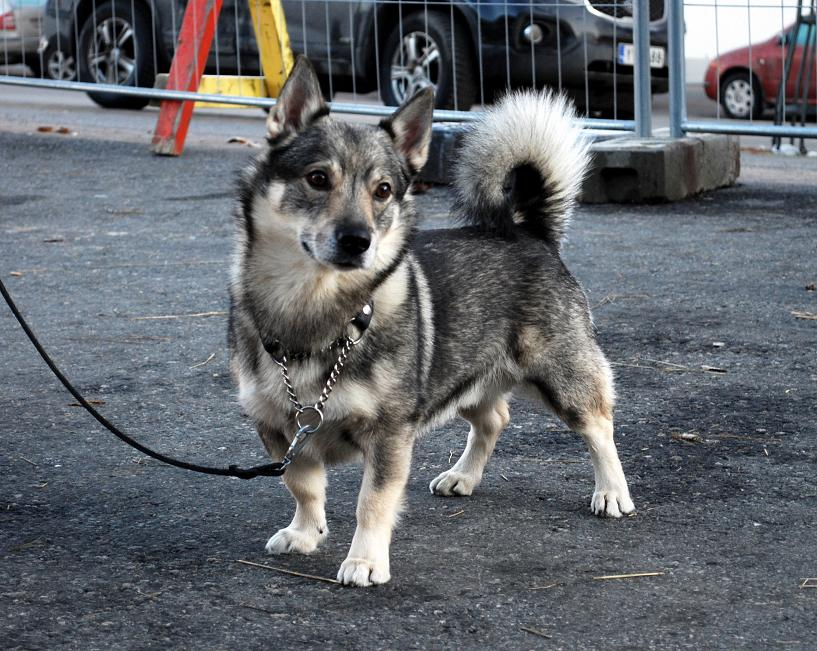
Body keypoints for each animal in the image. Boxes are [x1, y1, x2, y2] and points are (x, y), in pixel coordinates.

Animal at [226, 54, 636, 584]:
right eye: (317, 179)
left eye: (383, 191)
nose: (358, 240)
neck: (315, 314)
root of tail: (527, 231)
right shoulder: (280, 429)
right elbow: (303, 485)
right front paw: (305, 532)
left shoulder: (389, 435)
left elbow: (372, 502)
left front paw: (365, 559)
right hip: (461, 375)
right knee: (494, 418)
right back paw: (463, 474)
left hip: (562, 377)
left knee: (599, 427)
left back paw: (612, 491)